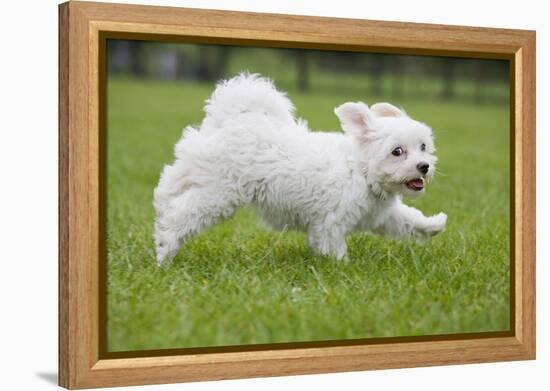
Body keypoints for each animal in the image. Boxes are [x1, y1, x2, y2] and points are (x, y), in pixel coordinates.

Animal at [153, 73, 446, 264]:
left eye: (423, 146)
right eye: (397, 152)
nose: (424, 166)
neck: (362, 171)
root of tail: (234, 117)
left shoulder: (382, 216)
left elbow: (408, 220)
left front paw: (434, 225)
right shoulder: (330, 223)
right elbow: (334, 247)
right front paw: (343, 267)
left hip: (199, 170)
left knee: (169, 186)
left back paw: (161, 216)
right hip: (220, 192)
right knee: (182, 213)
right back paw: (166, 249)